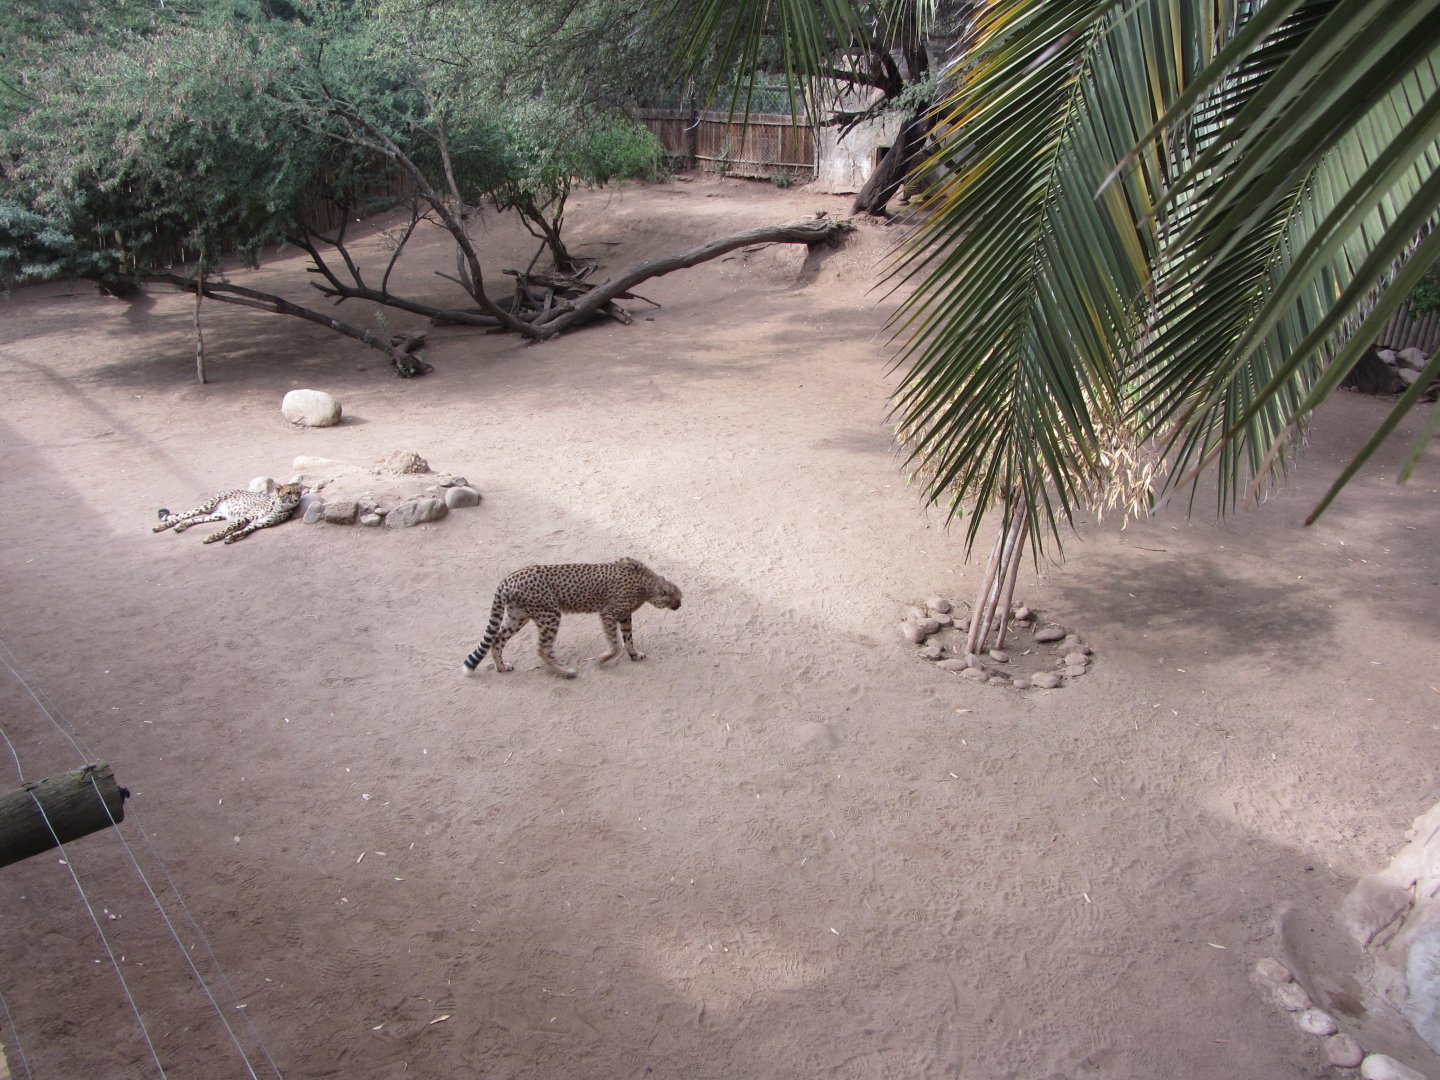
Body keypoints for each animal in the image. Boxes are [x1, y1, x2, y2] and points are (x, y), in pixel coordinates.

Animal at [152, 483, 303, 545]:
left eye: (298, 492)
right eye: (288, 493)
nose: (297, 500)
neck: (279, 506)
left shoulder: (258, 524)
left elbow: (243, 531)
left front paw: (231, 538)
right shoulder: (246, 517)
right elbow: (228, 528)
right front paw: (213, 537)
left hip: (217, 515)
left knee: (194, 520)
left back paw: (181, 526)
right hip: (207, 506)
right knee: (185, 515)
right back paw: (161, 527)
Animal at [462, 557, 682, 678]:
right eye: (677, 598)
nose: (679, 605)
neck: (646, 584)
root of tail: (508, 578)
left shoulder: (624, 615)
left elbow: (628, 639)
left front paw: (634, 655)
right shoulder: (608, 613)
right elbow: (616, 644)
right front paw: (603, 659)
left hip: (519, 616)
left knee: (497, 639)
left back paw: (501, 666)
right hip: (549, 614)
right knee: (542, 648)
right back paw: (565, 672)